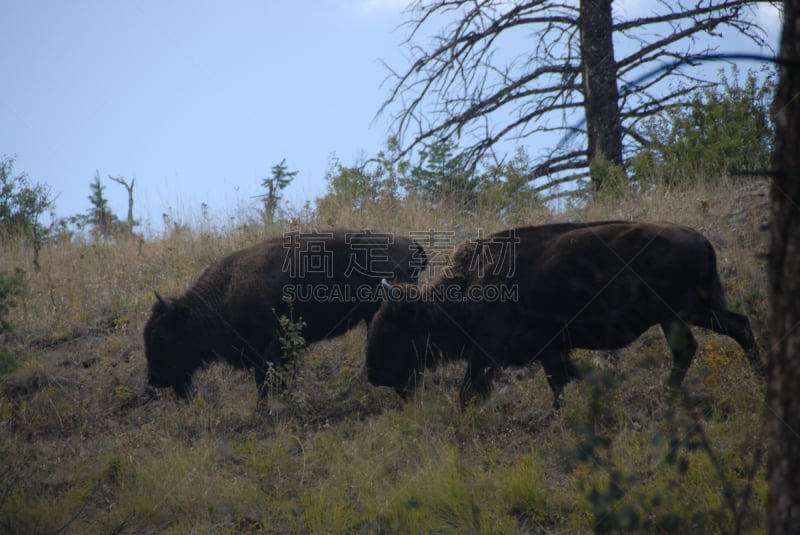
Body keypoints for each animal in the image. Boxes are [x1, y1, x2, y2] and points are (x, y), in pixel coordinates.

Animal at [146, 228, 428, 400]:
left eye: (160, 336)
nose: (154, 380)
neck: (225, 290)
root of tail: (412, 244)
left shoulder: (271, 347)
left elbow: (266, 381)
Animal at [366, 222, 760, 410]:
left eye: (390, 328)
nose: (373, 375)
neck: (465, 288)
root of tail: (701, 239)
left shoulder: (487, 354)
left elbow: (469, 392)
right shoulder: (550, 351)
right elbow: (563, 380)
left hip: (687, 311)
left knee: (712, 339)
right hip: (688, 314)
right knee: (726, 332)